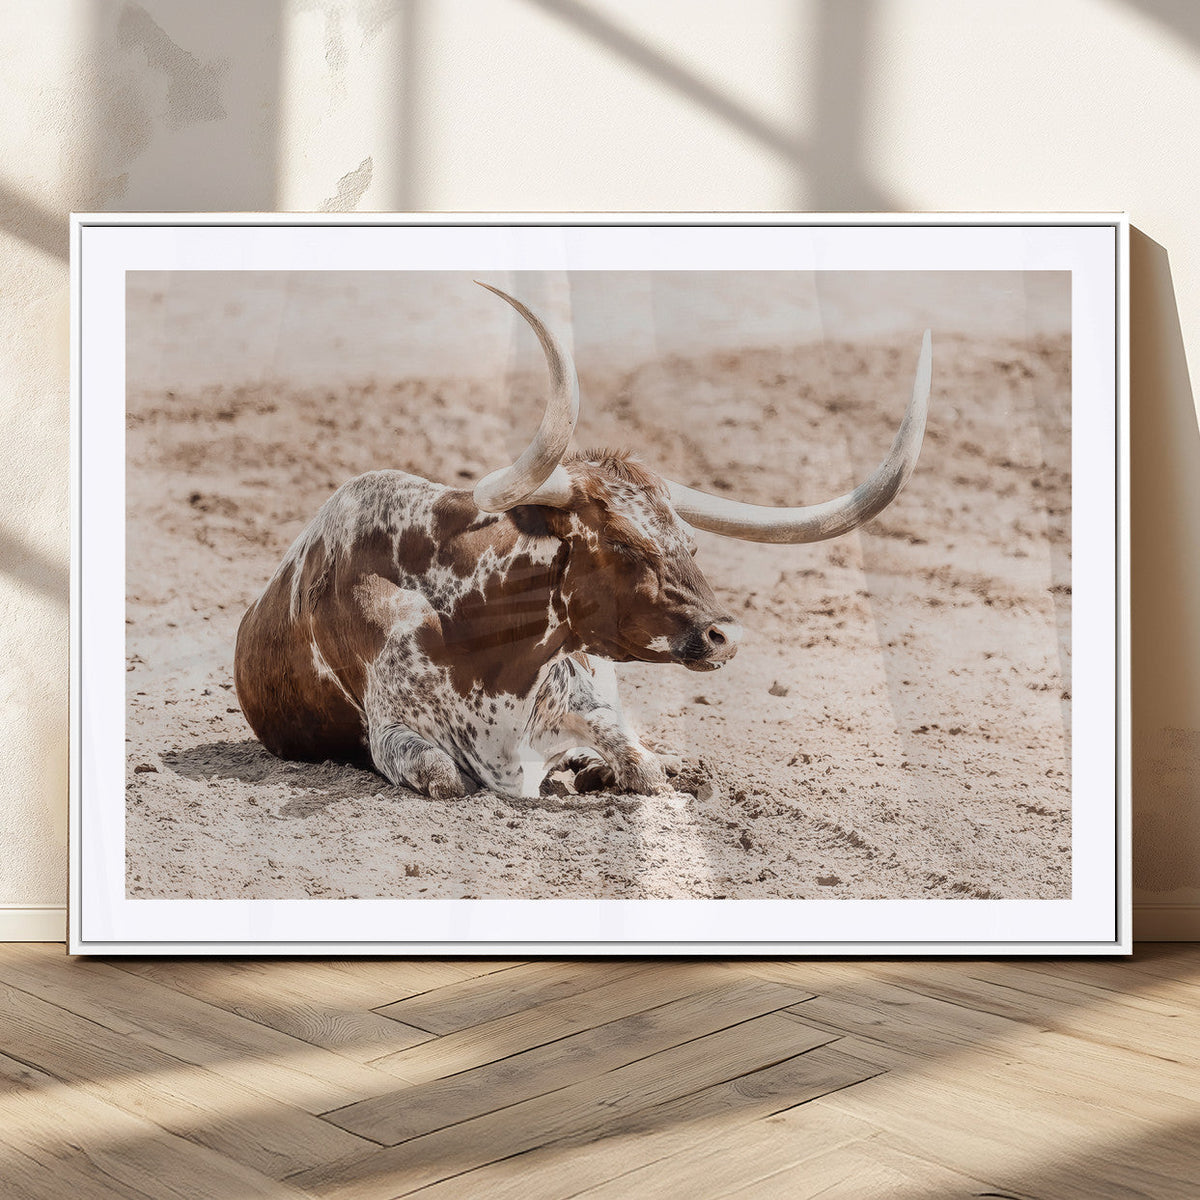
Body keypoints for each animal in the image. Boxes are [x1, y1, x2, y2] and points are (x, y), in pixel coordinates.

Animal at [235, 283, 931, 799]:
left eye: (689, 543)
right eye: (622, 545)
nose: (724, 636)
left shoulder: (587, 699)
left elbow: (641, 763)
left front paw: (615, 769)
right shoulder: (394, 736)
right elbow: (447, 776)